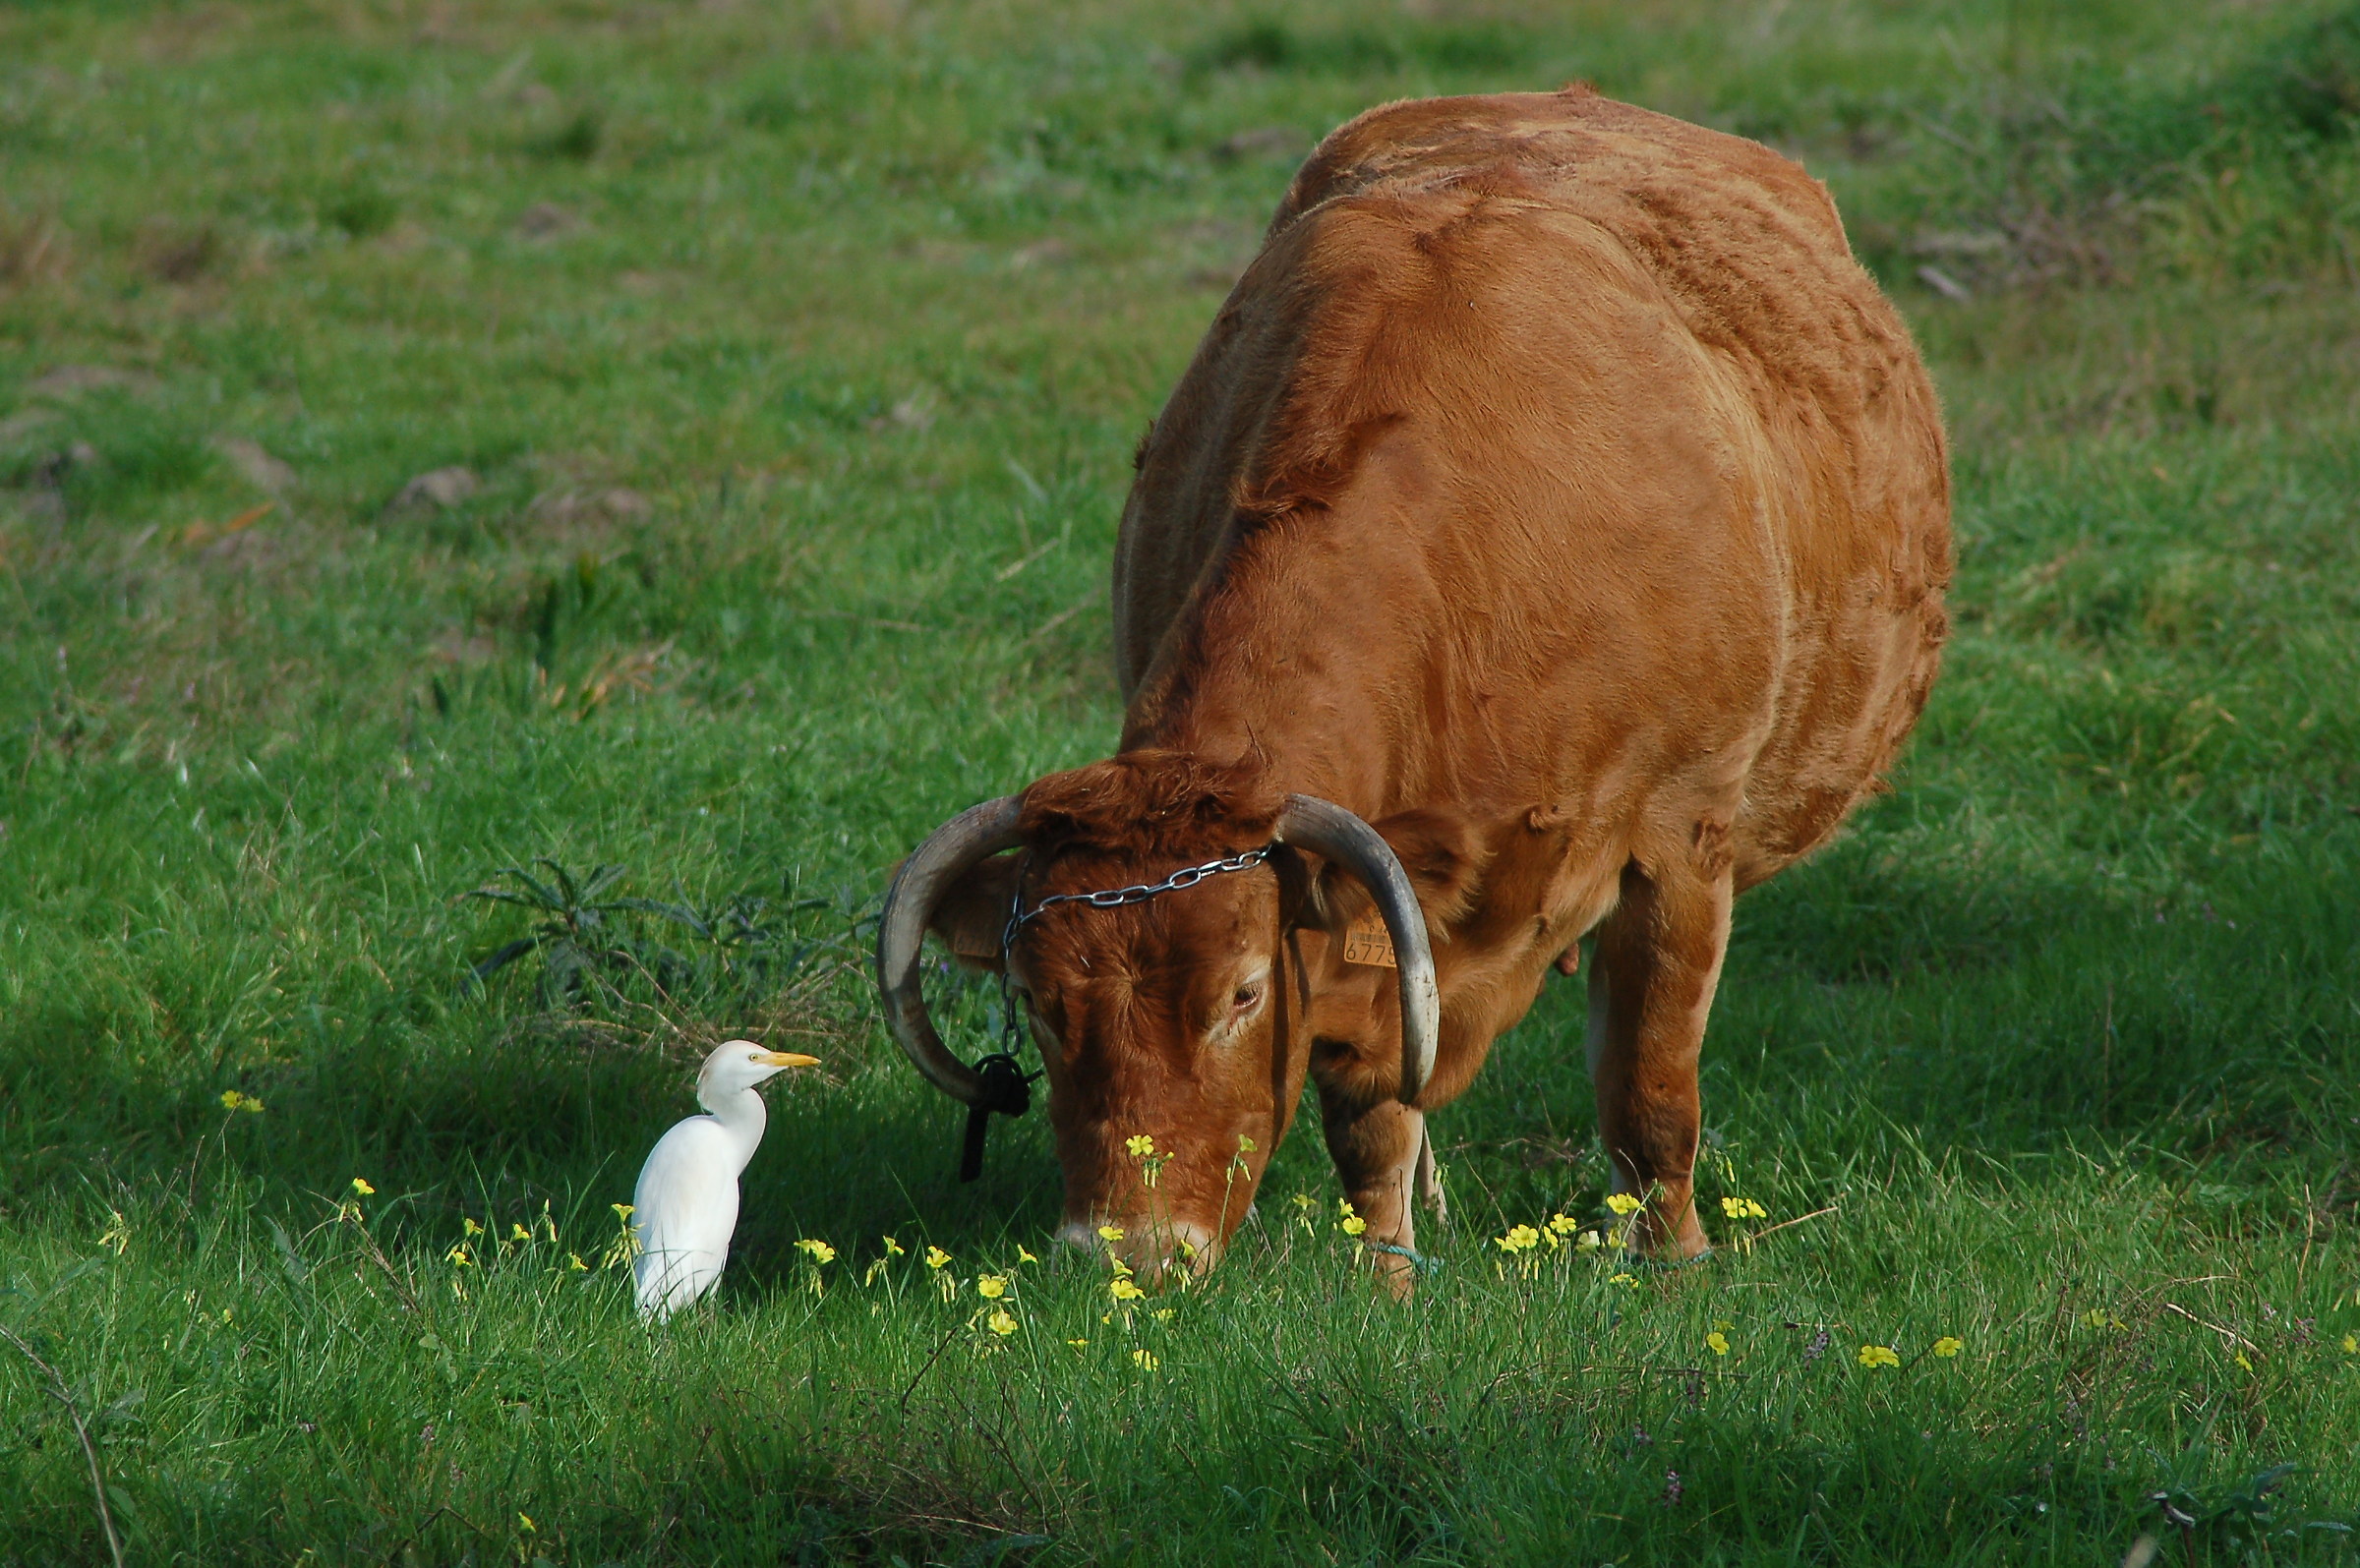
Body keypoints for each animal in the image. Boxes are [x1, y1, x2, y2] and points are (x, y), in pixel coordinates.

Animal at [876, 86, 1951, 1283]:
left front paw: (1675, 1264)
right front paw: (1388, 1272)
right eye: (1035, 999)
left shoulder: (1683, 839)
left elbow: (1651, 1090)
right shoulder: (1376, 933)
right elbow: (1375, 1116)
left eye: (1242, 991)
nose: (1129, 1253)